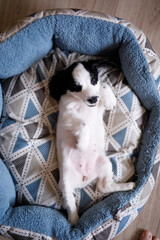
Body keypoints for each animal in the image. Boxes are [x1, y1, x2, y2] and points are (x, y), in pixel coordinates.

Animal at [49, 59, 135, 225]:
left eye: (93, 80)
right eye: (76, 87)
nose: (93, 99)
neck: (81, 103)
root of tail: (84, 180)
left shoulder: (97, 105)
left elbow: (104, 84)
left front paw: (109, 99)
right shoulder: (67, 115)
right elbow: (83, 124)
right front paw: (82, 144)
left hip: (105, 163)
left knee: (103, 187)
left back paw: (129, 185)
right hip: (65, 183)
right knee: (71, 206)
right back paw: (75, 223)